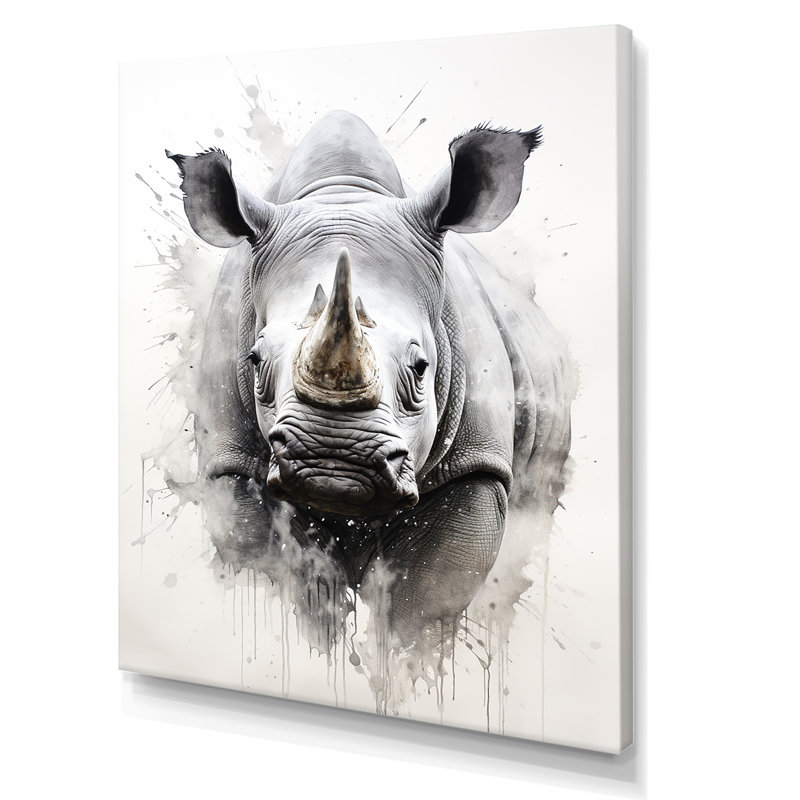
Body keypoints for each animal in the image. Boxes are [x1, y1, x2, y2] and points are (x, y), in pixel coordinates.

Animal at [167, 111, 573, 640]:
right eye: (255, 361)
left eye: (421, 368)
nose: (333, 464)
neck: (342, 194)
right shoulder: (232, 468)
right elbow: (287, 587)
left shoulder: (477, 466)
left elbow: (422, 607)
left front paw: (406, 659)